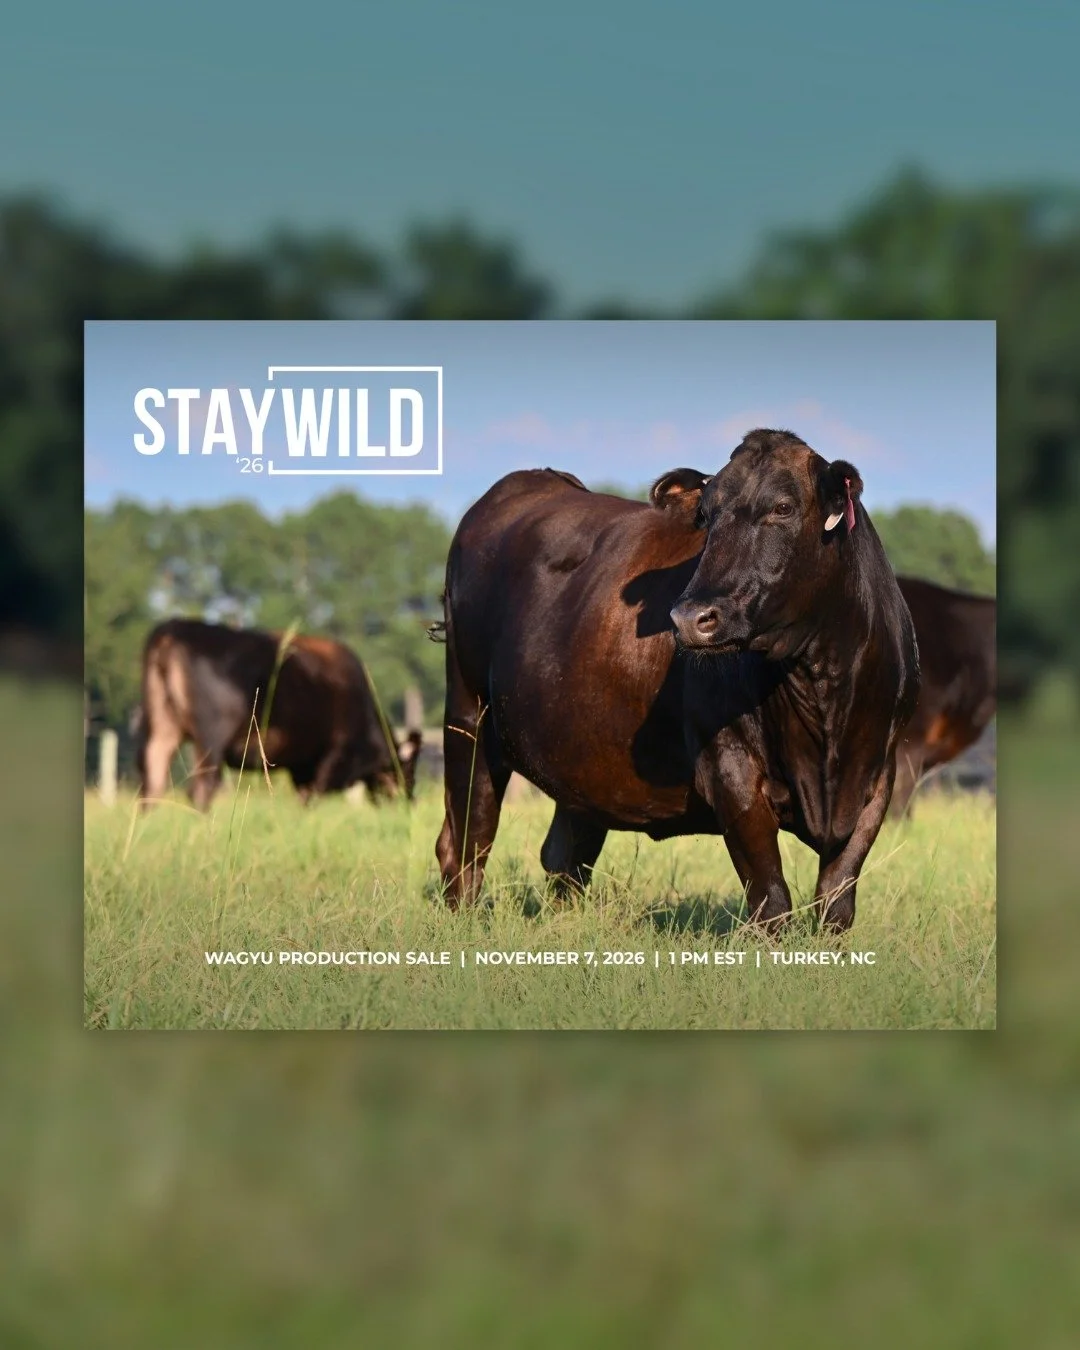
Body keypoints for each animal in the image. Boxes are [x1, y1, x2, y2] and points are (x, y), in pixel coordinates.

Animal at [135, 619, 421, 810]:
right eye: (409, 771)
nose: (410, 802)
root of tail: (173, 629)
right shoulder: (334, 757)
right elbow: (312, 797)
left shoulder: (302, 766)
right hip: (211, 736)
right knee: (201, 788)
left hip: (160, 729)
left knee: (152, 784)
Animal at [434, 429, 920, 931]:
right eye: (704, 514)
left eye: (783, 508)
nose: (689, 618)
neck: (822, 695)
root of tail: (528, 480)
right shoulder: (730, 769)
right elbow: (770, 899)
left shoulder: (876, 778)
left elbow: (836, 902)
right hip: (468, 717)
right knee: (466, 840)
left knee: (564, 857)